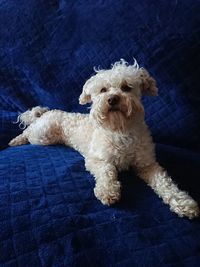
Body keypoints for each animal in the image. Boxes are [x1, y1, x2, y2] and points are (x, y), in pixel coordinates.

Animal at [8, 59, 200, 219]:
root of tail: (47, 113)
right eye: (103, 90)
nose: (112, 98)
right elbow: (107, 170)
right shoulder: (96, 159)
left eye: (126, 87)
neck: (120, 130)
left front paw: (183, 202)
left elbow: (165, 183)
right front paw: (108, 191)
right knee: (29, 130)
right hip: (43, 134)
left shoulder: (147, 165)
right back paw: (16, 140)